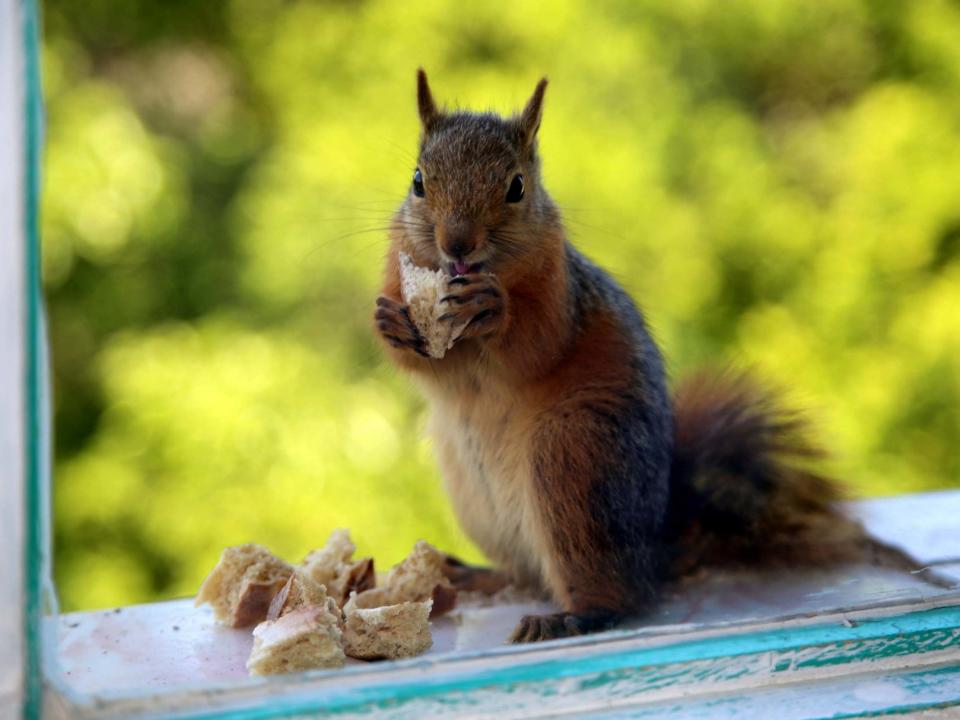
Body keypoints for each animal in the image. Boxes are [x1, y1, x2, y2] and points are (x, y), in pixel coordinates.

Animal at [372, 69, 940, 640]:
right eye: (418, 180)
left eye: (516, 187)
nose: (457, 244)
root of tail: (655, 549)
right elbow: (429, 365)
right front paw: (392, 322)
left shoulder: (562, 292)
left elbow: (535, 345)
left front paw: (494, 307)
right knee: (527, 573)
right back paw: (479, 576)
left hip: (574, 458)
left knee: (616, 592)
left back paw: (572, 616)